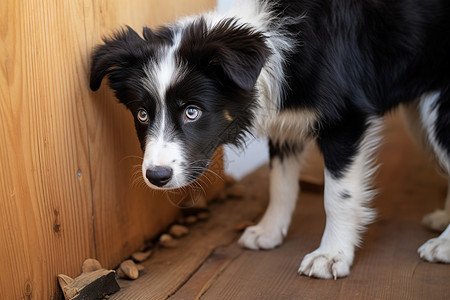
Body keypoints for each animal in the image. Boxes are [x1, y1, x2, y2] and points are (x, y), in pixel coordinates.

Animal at [88, 0, 450, 278]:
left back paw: (443, 245)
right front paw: (268, 232)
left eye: (192, 112)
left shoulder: (346, 119)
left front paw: (331, 255)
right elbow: (280, 183)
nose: (157, 177)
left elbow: (337, 195)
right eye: (142, 115)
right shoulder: (284, 123)